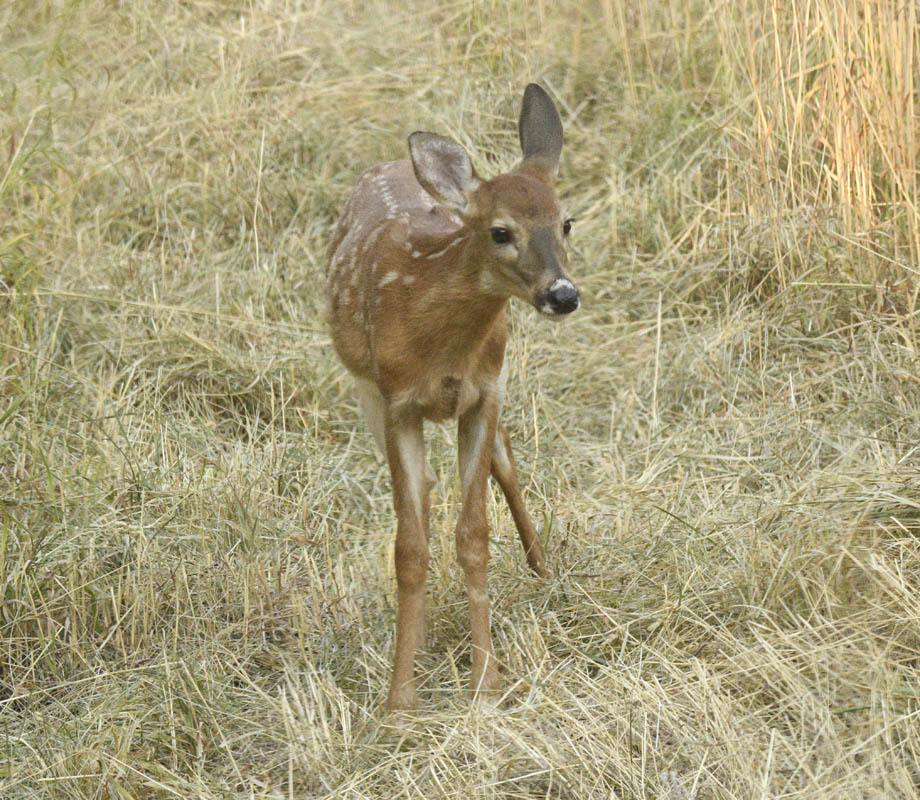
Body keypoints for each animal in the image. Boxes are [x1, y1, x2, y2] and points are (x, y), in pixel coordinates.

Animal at [326, 83, 579, 710]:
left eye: (566, 221)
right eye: (500, 231)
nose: (563, 294)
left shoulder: (485, 393)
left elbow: (473, 536)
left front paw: (486, 681)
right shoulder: (396, 402)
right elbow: (410, 549)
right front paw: (399, 699)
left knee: (505, 465)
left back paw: (544, 573)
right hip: (366, 393)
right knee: (423, 493)